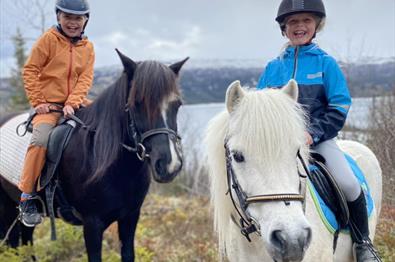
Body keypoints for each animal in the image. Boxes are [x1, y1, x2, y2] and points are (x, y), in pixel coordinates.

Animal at [0, 50, 189, 260]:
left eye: (177, 104)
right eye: (137, 103)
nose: (170, 165)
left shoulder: (130, 217)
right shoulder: (92, 225)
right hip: (7, 207)